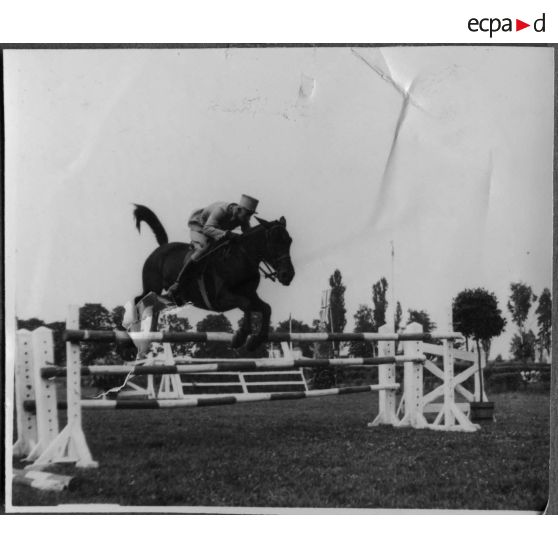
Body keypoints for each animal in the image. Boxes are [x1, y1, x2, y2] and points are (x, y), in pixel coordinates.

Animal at [132, 204, 295, 351]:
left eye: (289, 241)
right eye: (273, 241)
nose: (288, 275)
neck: (241, 258)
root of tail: (161, 248)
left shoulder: (250, 295)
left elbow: (266, 308)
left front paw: (255, 341)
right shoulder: (222, 298)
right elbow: (246, 304)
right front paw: (240, 338)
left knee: (153, 306)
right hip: (152, 287)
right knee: (138, 300)